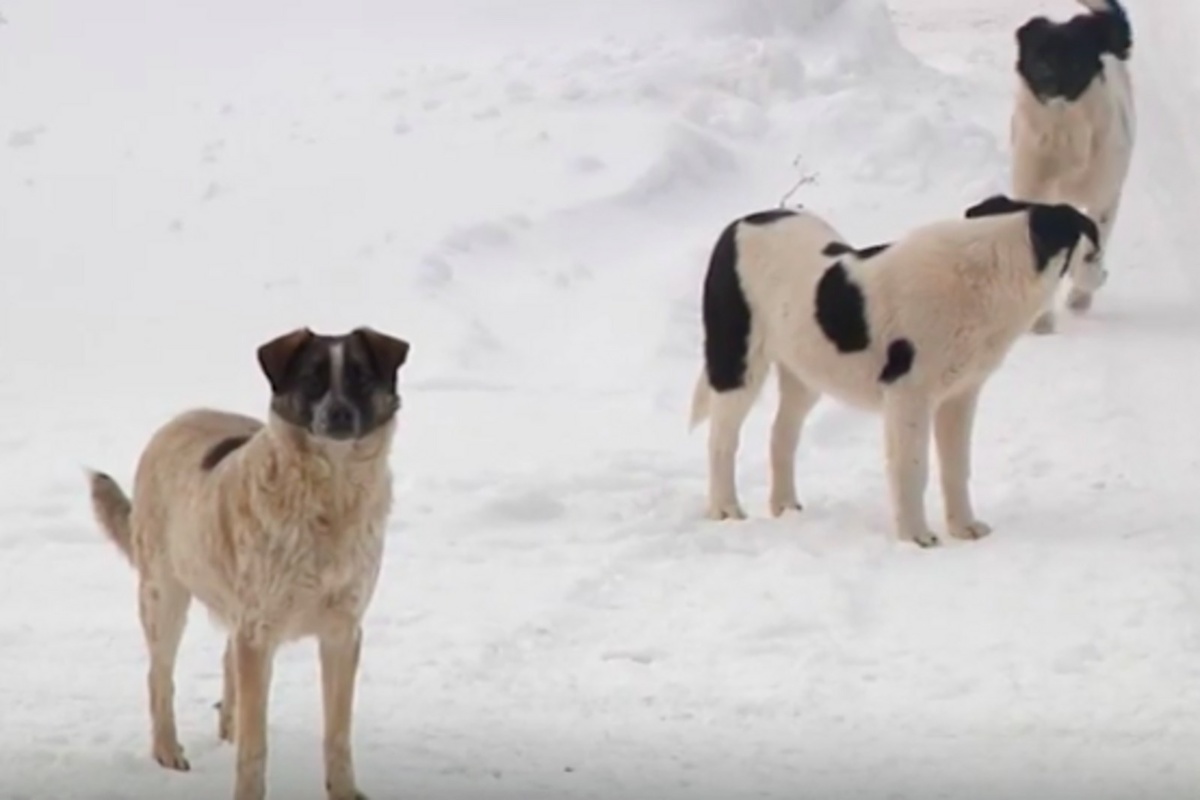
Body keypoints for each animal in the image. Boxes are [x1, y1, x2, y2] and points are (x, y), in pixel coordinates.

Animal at [87, 326, 411, 800]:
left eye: (360, 376)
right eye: (312, 377)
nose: (338, 414)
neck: (330, 496)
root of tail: (180, 418)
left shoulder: (342, 631)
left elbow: (337, 733)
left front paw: (345, 792)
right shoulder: (259, 632)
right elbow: (256, 746)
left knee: (226, 662)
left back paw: (227, 727)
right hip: (164, 596)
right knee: (159, 675)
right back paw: (168, 751)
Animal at [689, 198, 1099, 547]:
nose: (1100, 273)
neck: (993, 270)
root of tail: (738, 224)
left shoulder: (959, 397)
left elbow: (956, 466)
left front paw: (963, 528)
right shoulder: (909, 395)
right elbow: (912, 467)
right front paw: (916, 537)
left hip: (805, 371)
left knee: (781, 436)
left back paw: (786, 506)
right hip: (737, 364)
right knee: (721, 440)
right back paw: (725, 509)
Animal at [1011, 0, 1134, 333]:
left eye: (1073, 55)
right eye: (1038, 53)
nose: (1045, 75)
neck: (1062, 129)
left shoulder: (1105, 196)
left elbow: (1091, 256)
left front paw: (1087, 285)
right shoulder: (1032, 191)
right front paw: (1041, 319)